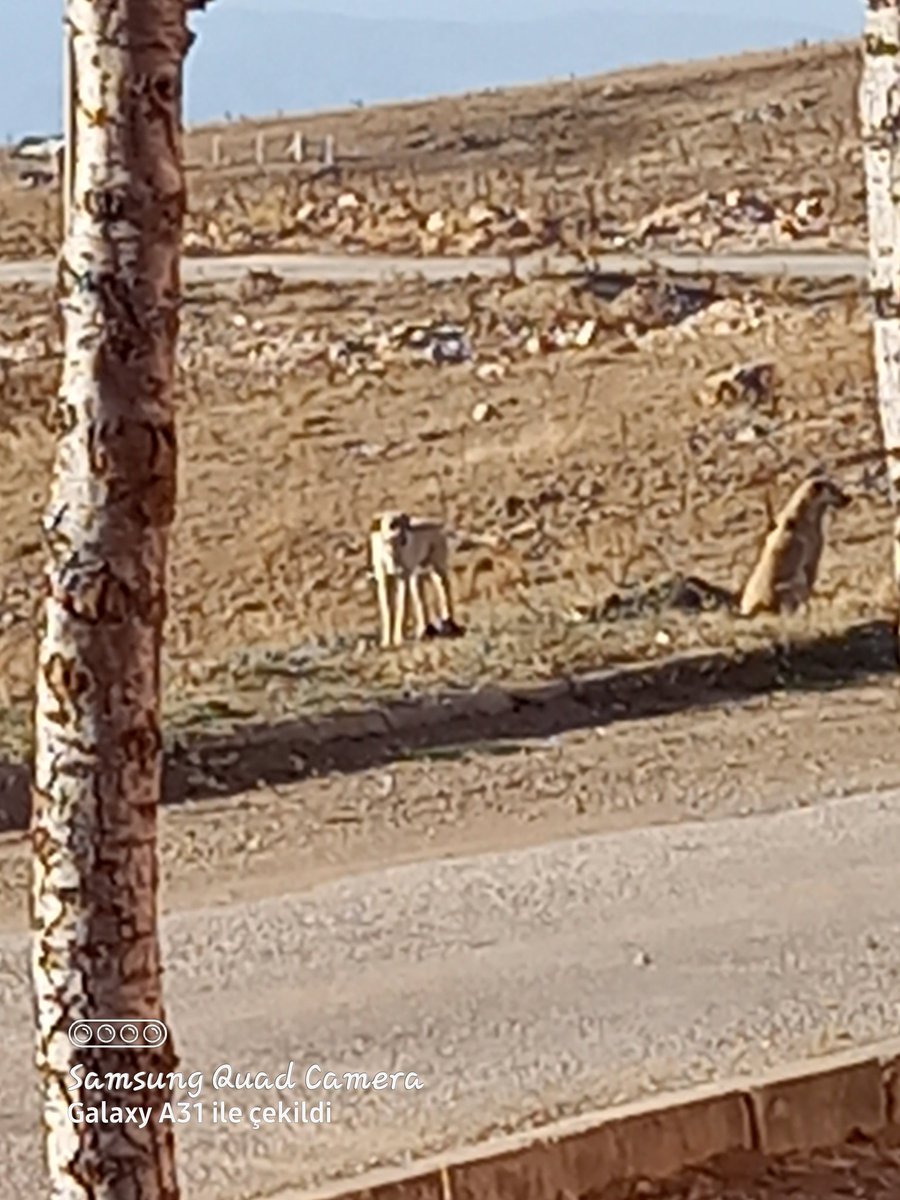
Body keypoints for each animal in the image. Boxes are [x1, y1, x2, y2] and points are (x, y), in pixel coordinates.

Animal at [367, 511, 465, 652]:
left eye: (406, 524)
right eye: (392, 525)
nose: (405, 539)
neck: (391, 552)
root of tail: (435, 522)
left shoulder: (403, 577)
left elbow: (402, 608)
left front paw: (398, 640)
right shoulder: (384, 579)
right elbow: (387, 610)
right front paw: (385, 642)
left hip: (436, 567)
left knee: (444, 587)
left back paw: (448, 623)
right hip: (417, 576)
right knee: (421, 600)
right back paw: (423, 631)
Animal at [739, 470, 854, 619]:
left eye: (836, 487)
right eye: (833, 489)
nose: (849, 498)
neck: (803, 514)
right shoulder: (812, 559)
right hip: (794, 584)